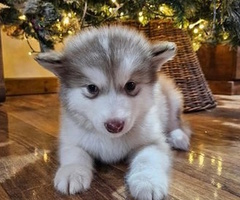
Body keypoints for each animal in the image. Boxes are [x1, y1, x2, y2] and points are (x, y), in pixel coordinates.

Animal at [35, 25, 191, 199]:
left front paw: (147, 181)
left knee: (177, 123)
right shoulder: (71, 138)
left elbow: (147, 158)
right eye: (91, 88)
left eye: (130, 85)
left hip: (173, 100)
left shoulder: (152, 141)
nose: (115, 125)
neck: (111, 139)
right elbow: (74, 153)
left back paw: (178, 137)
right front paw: (72, 172)